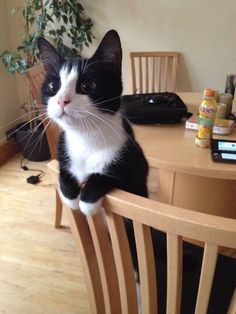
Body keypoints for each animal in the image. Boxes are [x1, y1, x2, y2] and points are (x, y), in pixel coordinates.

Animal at [37, 30, 148, 216]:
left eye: (87, 85)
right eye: (53, 86)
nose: (62, 100)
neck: (85, 139)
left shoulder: (137, 165)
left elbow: (110, 176)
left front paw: (87, 200)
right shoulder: (63, 149)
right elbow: (63, 170)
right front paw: (69, 195)